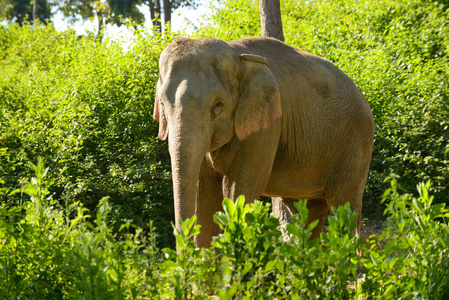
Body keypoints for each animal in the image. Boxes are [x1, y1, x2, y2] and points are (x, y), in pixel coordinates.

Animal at [154, 36, 374, 247]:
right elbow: (204, 194)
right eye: (162, 104)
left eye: (218, 105)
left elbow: (238, 189)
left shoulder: (266, 129)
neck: (236, 53)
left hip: (357, 142)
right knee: (310, 212)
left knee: (344, 207)